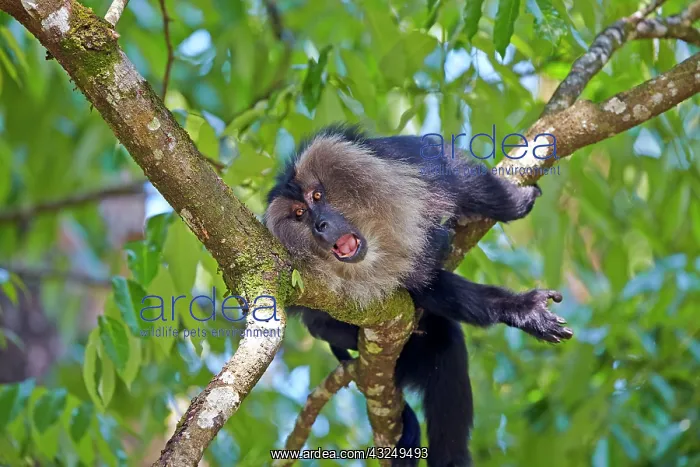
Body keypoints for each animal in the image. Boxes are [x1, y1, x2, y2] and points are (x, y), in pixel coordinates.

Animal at [264, 124, 573, 467]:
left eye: (317, 196)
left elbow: (456, 174)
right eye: (299, 214)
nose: (319, 225)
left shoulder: (401, 161)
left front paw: (515, 203)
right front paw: (523, 309)